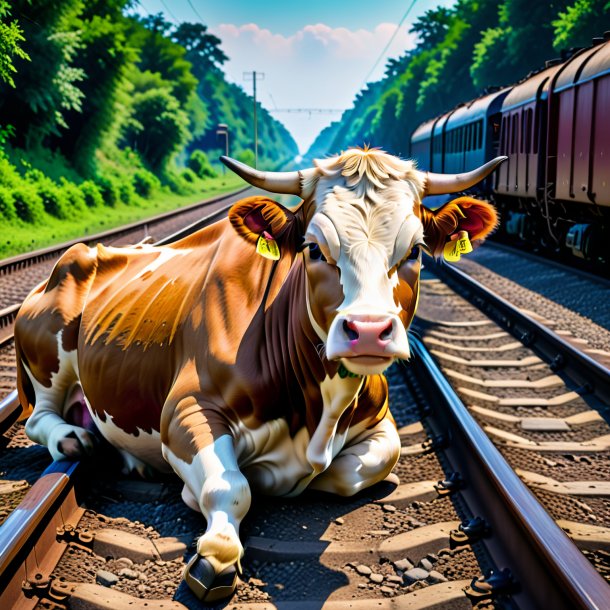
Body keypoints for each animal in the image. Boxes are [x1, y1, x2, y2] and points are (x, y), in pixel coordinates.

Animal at [15, 147, 504, 600]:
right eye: (313, 248)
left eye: (415, 251)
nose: (367, 331)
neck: (318, 409)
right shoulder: (186, 407)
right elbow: (230, 485)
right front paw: (216, 548)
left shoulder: (380, 420)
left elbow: (367, 465)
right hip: (49, 346)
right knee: (38, 418)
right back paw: (76, 440)